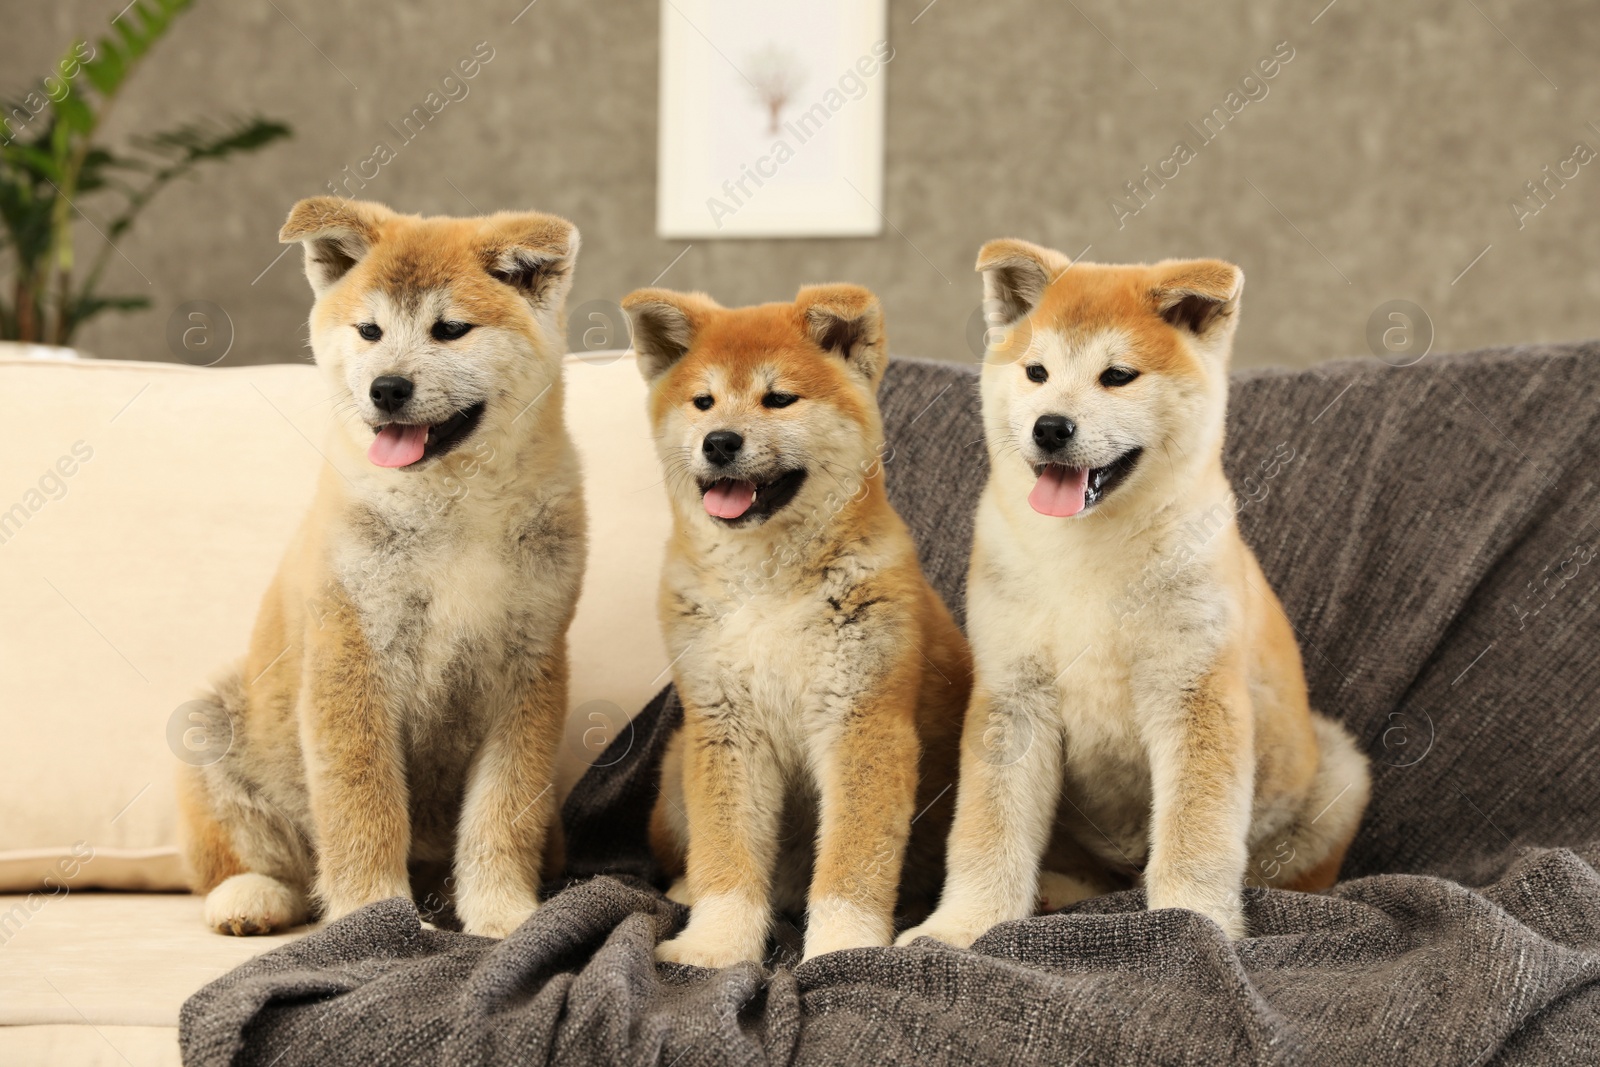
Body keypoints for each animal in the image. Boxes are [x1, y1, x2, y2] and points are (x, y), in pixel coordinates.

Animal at [178, 198, 588, 934]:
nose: (387, 388)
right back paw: (252, 898)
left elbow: (502, 811)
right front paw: (372, 916)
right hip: (215, 724)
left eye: (450, 329)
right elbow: (361, 803)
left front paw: (501, 912)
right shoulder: (351, 655)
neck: (453, 506)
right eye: (369, 330)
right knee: (255, 863)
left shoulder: (531, 665)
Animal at [624, 283, 972, 966]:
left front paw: (841, 950)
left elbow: (850, 866)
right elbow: (726, 855)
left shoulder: (864, 724)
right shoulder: (724, 726)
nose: (720, 441)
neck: (768, 586)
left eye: (778, 398)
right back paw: (684, 890)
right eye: (703, 401)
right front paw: (715, 944)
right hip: (676, 768)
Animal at [902, 239, 1363, 940]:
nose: (1051, 426)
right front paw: (964, 924)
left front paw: (1194, 923)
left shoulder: (1194, 691)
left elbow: (1196, 833)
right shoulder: (1013, 695)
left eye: (1117, 376)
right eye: (1036, 372)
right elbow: (988, 829)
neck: (1089, 552)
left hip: (1337, 770)